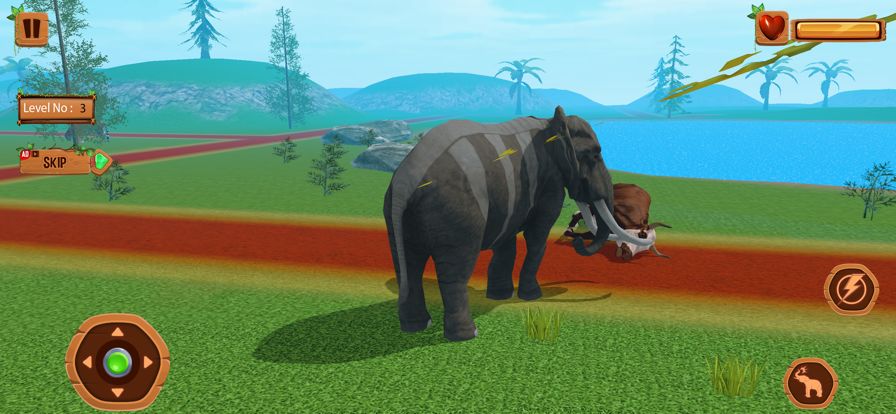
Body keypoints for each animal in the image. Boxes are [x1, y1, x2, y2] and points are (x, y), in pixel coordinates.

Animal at [384, 106, 652, 341]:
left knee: (409, 267)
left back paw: (416, 326)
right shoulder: (550, 181)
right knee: (455, 271)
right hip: (455, 212)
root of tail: (405, 184)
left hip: (399, 220)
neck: (550, 123)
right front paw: (532, 296)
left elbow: (507, 241)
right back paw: (466, 335)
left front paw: (499, 296)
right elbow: (537, 236)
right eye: (594, 156)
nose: (575, 239)